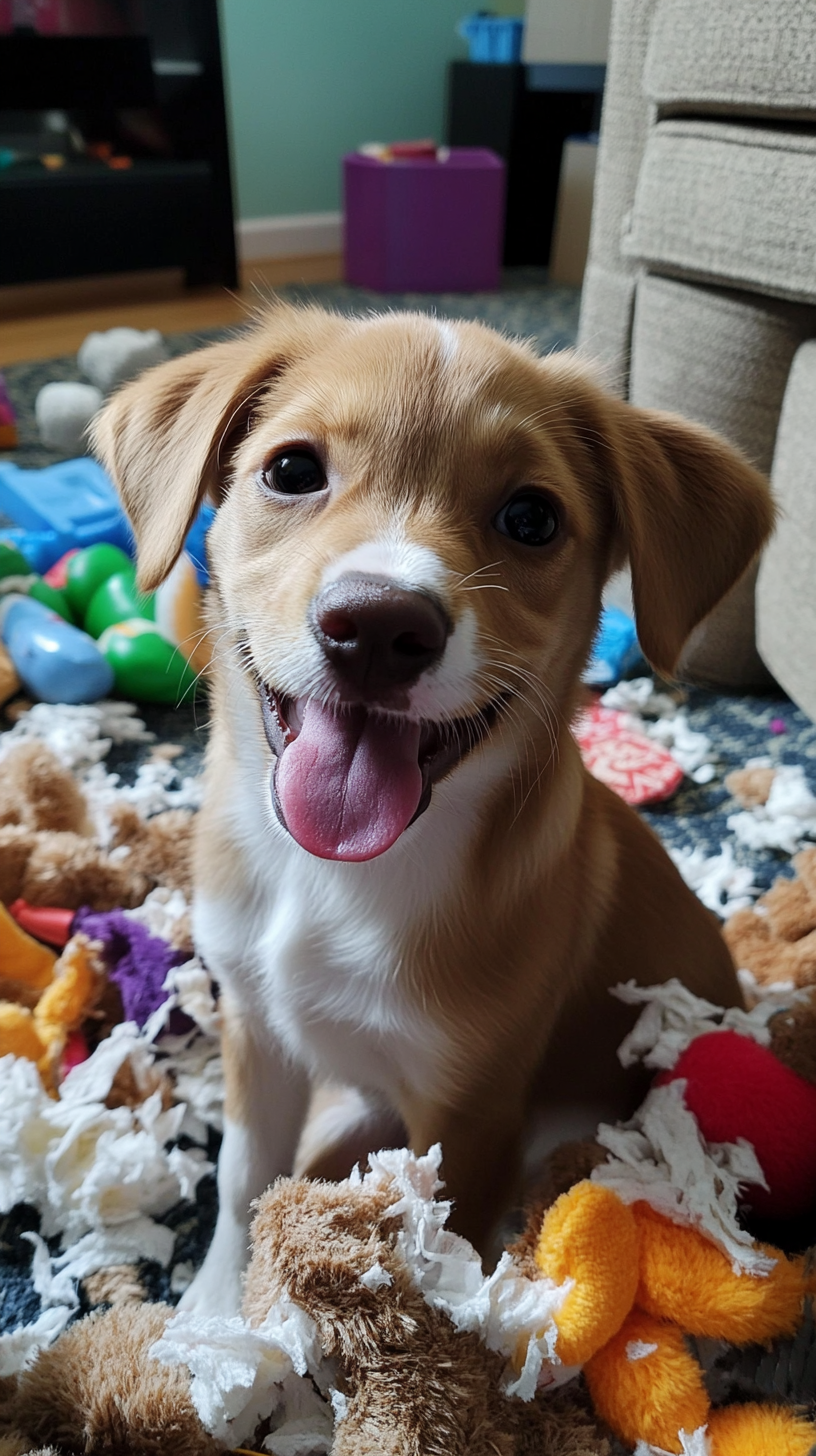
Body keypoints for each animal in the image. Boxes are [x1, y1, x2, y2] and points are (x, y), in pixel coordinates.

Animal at [93, 301, 769, 1316]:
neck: (329, 880)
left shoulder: (473, 1107)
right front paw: (211, 1322)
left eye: (531, 517)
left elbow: (434, 1250)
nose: (377, 626)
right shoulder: (259, 1036)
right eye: (292, 470)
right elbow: (243, 1181)